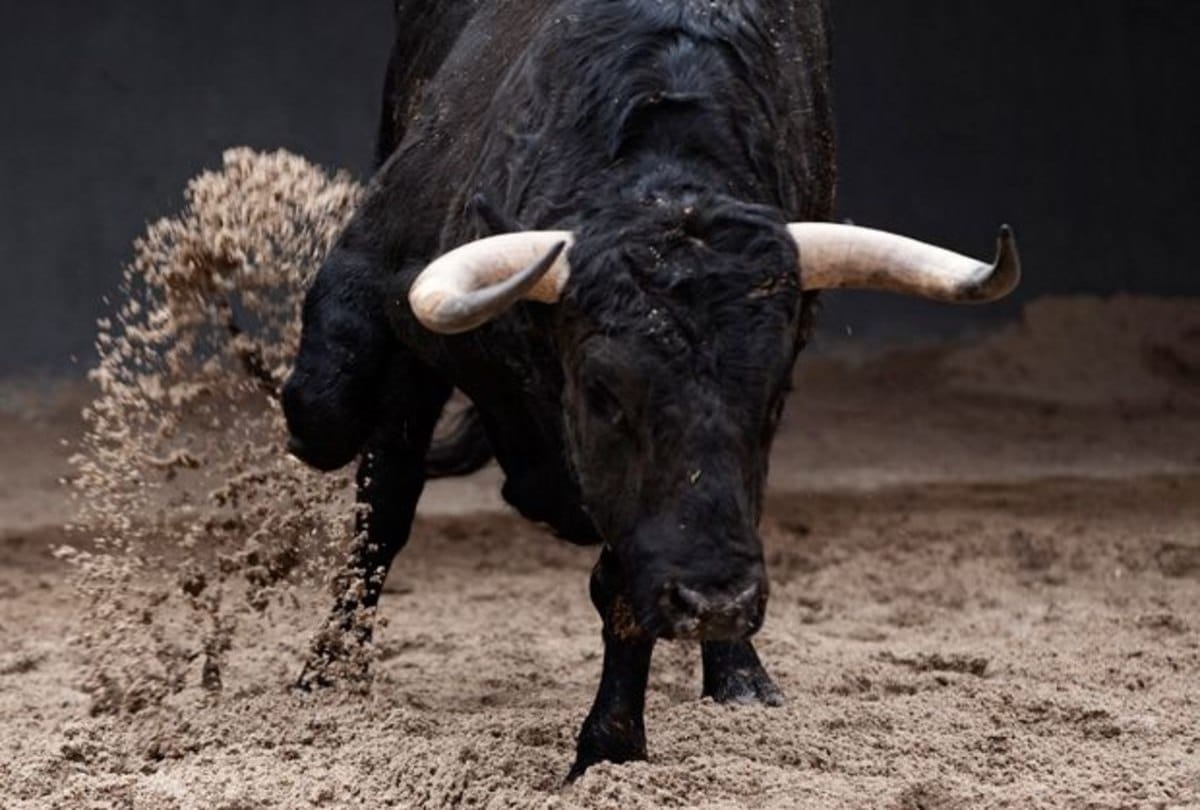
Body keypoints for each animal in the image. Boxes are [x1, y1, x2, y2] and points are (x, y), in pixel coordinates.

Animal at [281, 0, 1019, 779]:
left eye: (774, 399)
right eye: (605, 394)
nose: (716, 599)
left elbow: (622, 581)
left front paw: (610, 748)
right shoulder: (382, 294)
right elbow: (365, 479)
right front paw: (326, 678)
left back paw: (739, 677)